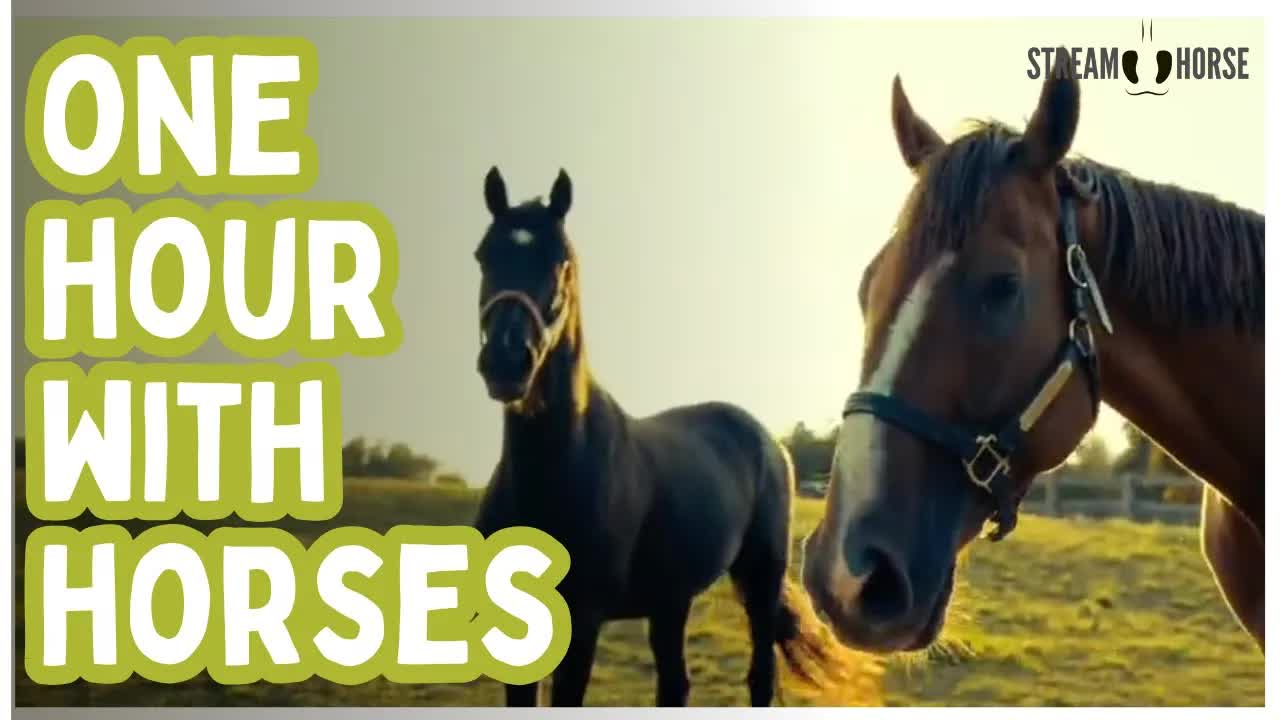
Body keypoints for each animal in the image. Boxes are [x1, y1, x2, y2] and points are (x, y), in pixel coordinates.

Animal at [470, 167, 870, 706]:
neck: (557, 470)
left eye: (561, 262)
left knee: (760, 677)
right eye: (483, 255)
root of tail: (769, 441)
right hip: (672, 598)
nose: (507, 360)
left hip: (759, 581)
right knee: (674, 684)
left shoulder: (584, 621)